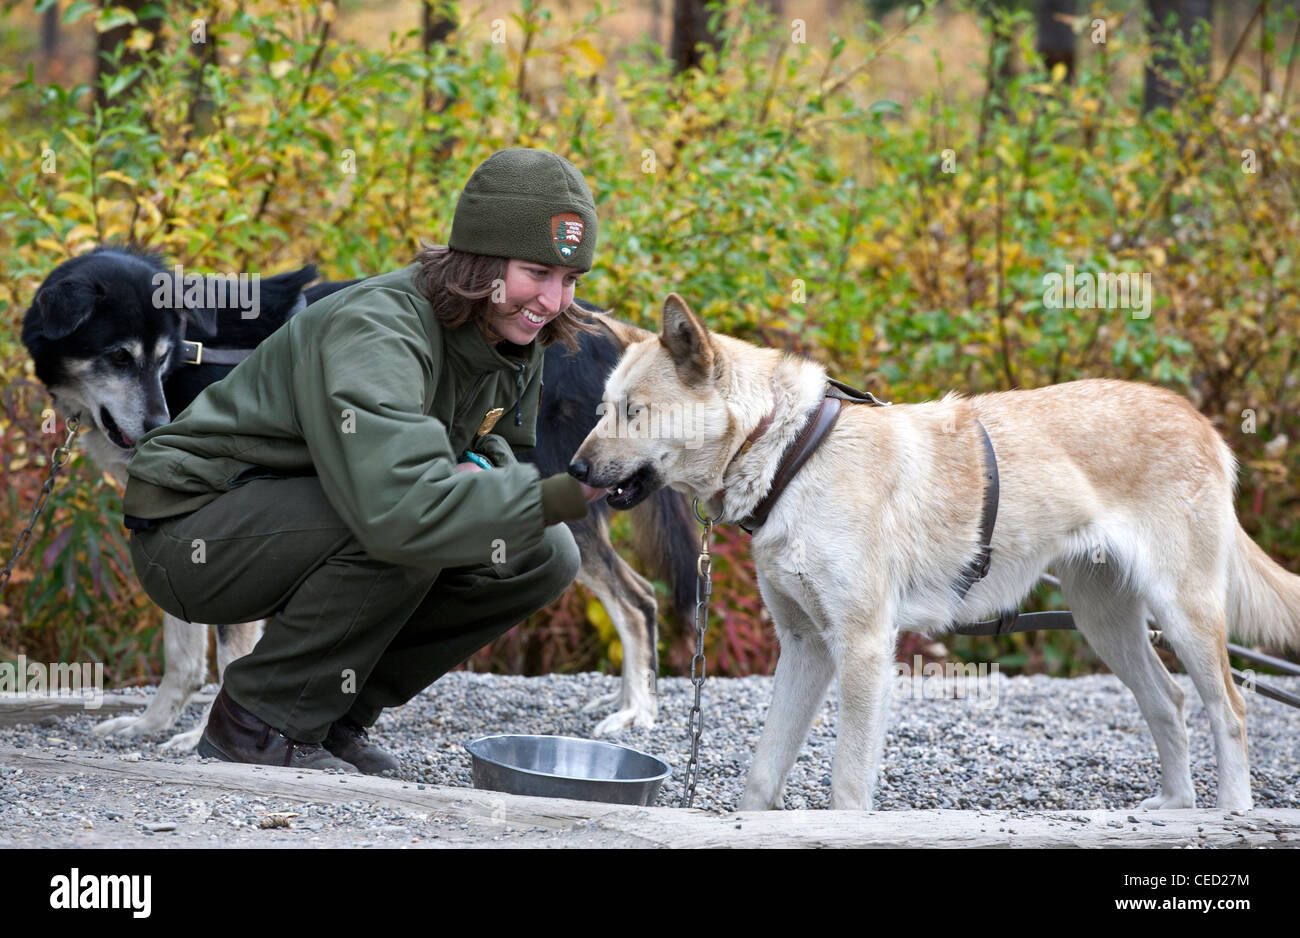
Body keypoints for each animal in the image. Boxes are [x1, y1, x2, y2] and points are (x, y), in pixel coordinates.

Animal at [20, 244, 696, 748]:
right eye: (118, 356)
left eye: (160, 356)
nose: (159, 423)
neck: (194, 357)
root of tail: (619, 339)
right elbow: (181, 648)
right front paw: (152, 724)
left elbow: (230, 645)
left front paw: (193, 735)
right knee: (636, 598)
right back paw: (630, 698)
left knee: (637, 601)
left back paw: (637, 712)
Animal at [577, 293, 1300, 810]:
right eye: (602, 407)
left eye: (635, 412)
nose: (576, 469)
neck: (791, 454)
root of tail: (1198, 419)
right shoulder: (806, 647)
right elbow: (760, 777)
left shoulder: (864, 648)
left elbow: (846, 787)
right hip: (1106, 623)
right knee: (1169, 704)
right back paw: (1175, 807)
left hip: (1184, 615)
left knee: (1229, 713)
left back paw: (1228, 813)